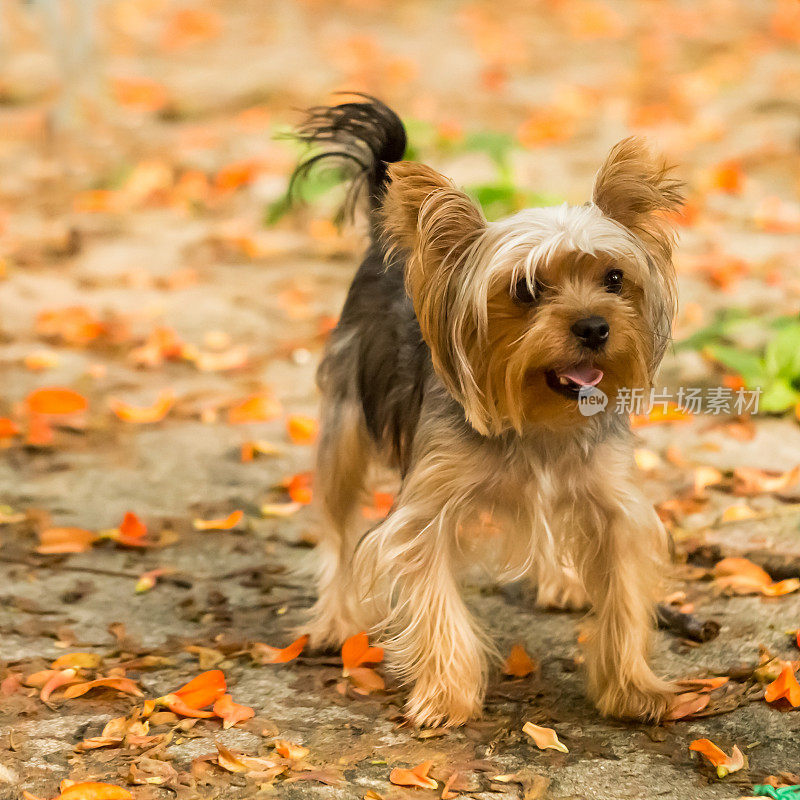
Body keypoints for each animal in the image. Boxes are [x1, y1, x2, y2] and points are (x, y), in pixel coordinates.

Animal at [290, 94, 684, 724]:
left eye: (614, 277)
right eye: (524, 290)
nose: (595, 327)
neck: (539, 419)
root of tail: (382, 246)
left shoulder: (614, 502)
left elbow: (623, 593)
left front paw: (632, 689)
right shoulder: (426, 509)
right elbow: (435, 601)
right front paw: (446, 699)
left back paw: (561, 580)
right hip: (345, 417)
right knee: (336, 519)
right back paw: (335, 620)